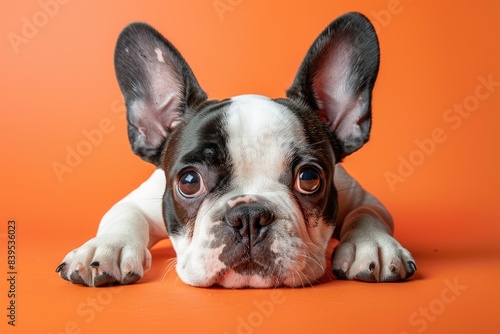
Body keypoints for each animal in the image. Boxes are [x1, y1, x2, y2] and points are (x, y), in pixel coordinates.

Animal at [54, 11, 416, 288]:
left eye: (310, 178)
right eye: (189, 182)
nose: (249, 216)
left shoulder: (360, 195)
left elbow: (367, 212)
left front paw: (373, 246)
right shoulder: (142, 198)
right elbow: (123, 213)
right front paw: (105, 249)